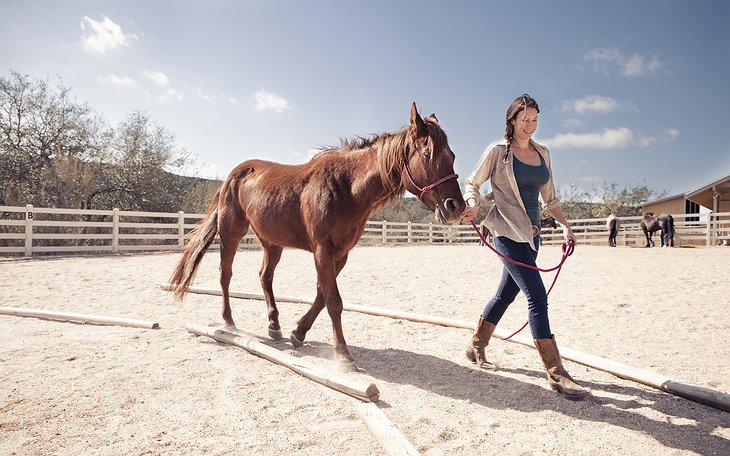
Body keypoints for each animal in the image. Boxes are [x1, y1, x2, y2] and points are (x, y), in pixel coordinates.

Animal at [168, 103, 464, 366]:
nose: (456, 207)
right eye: (428, 154)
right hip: (232, 233)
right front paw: (342, 354)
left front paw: (298, 333)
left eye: (452, 156)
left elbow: (323, 295)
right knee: (225, 275)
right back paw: (229, 321)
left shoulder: (340, 253)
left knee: (265, 277)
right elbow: (333, 300)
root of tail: (233, 175)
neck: (345, 187)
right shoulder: (323, 249)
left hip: (272, 244)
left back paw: (274, 325)